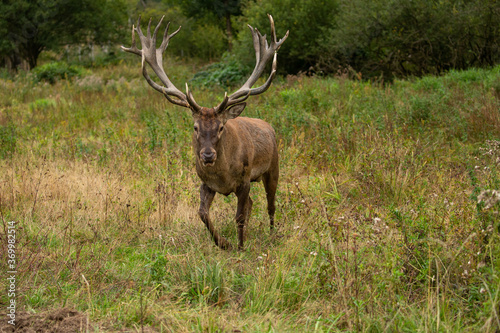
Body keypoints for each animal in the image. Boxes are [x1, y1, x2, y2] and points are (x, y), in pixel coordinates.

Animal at [121, 15, 292, 249]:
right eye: (195, 127)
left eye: (221, 127)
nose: (208, 155)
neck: (223, 176)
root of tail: (269, 126)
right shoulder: (205, 183)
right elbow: (202, 213)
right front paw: (223, 243)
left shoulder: (244, 180)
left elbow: (239, 216)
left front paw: (240, 246)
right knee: (252, 203)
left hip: (273, 167)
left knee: (270, 205)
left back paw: (272, 233)